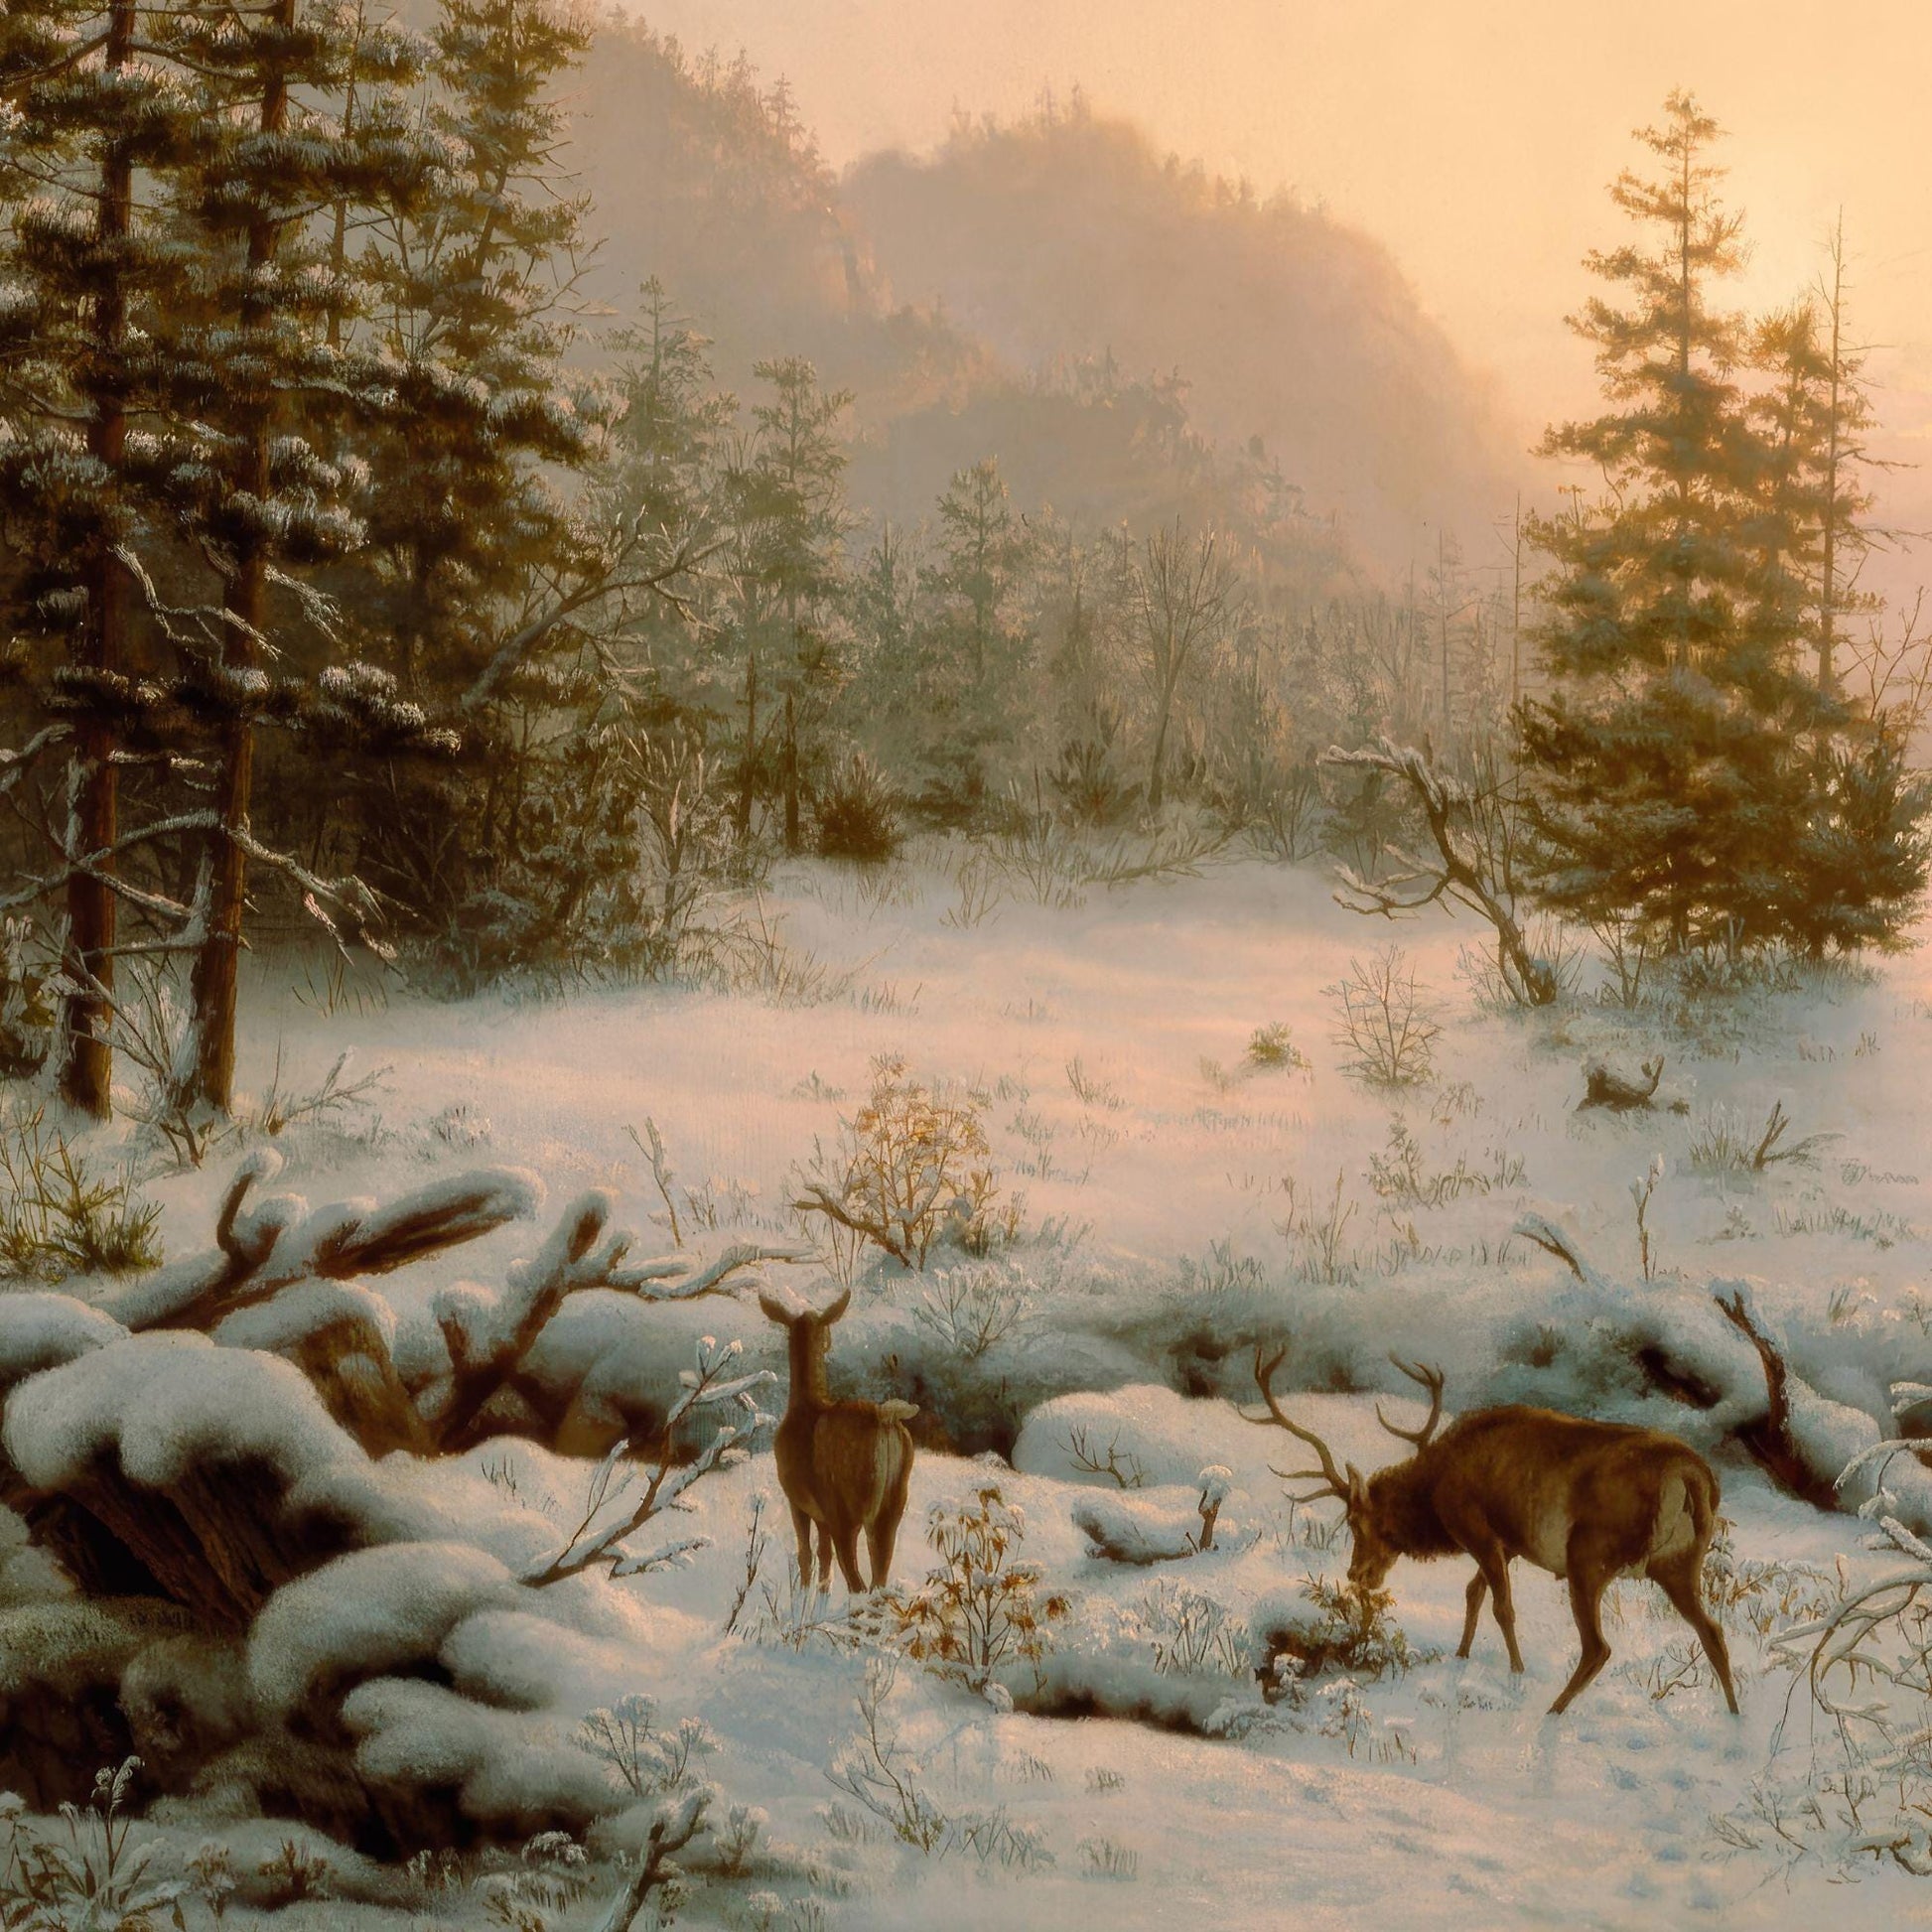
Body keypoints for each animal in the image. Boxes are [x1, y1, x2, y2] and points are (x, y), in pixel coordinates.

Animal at [760, 1287, 917, 1592]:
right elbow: (824, 1557)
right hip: (893, 1504)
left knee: (858, 1583)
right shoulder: (820, 1512)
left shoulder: (797, 1499)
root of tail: (883, 1418)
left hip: (845, 1509)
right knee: (878, 1580)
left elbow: (806, 1555)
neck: (803, 1403)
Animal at [1248, 1347, 1738, 1716]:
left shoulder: (1477, 1530)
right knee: (1712, 1631)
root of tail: (1691, 1475)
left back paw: (1551, 1711)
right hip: (1679, 1564)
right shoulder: (1507, 1543)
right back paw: (1736, 1717)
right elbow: (1474, 1593)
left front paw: (1516, 1671)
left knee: (1598, 1647)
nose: (1356, 1575)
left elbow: (1502, 1607)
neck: (1436, 1487)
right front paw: (1461, 1655)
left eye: (1354, 1521)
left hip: (1589, 1558)